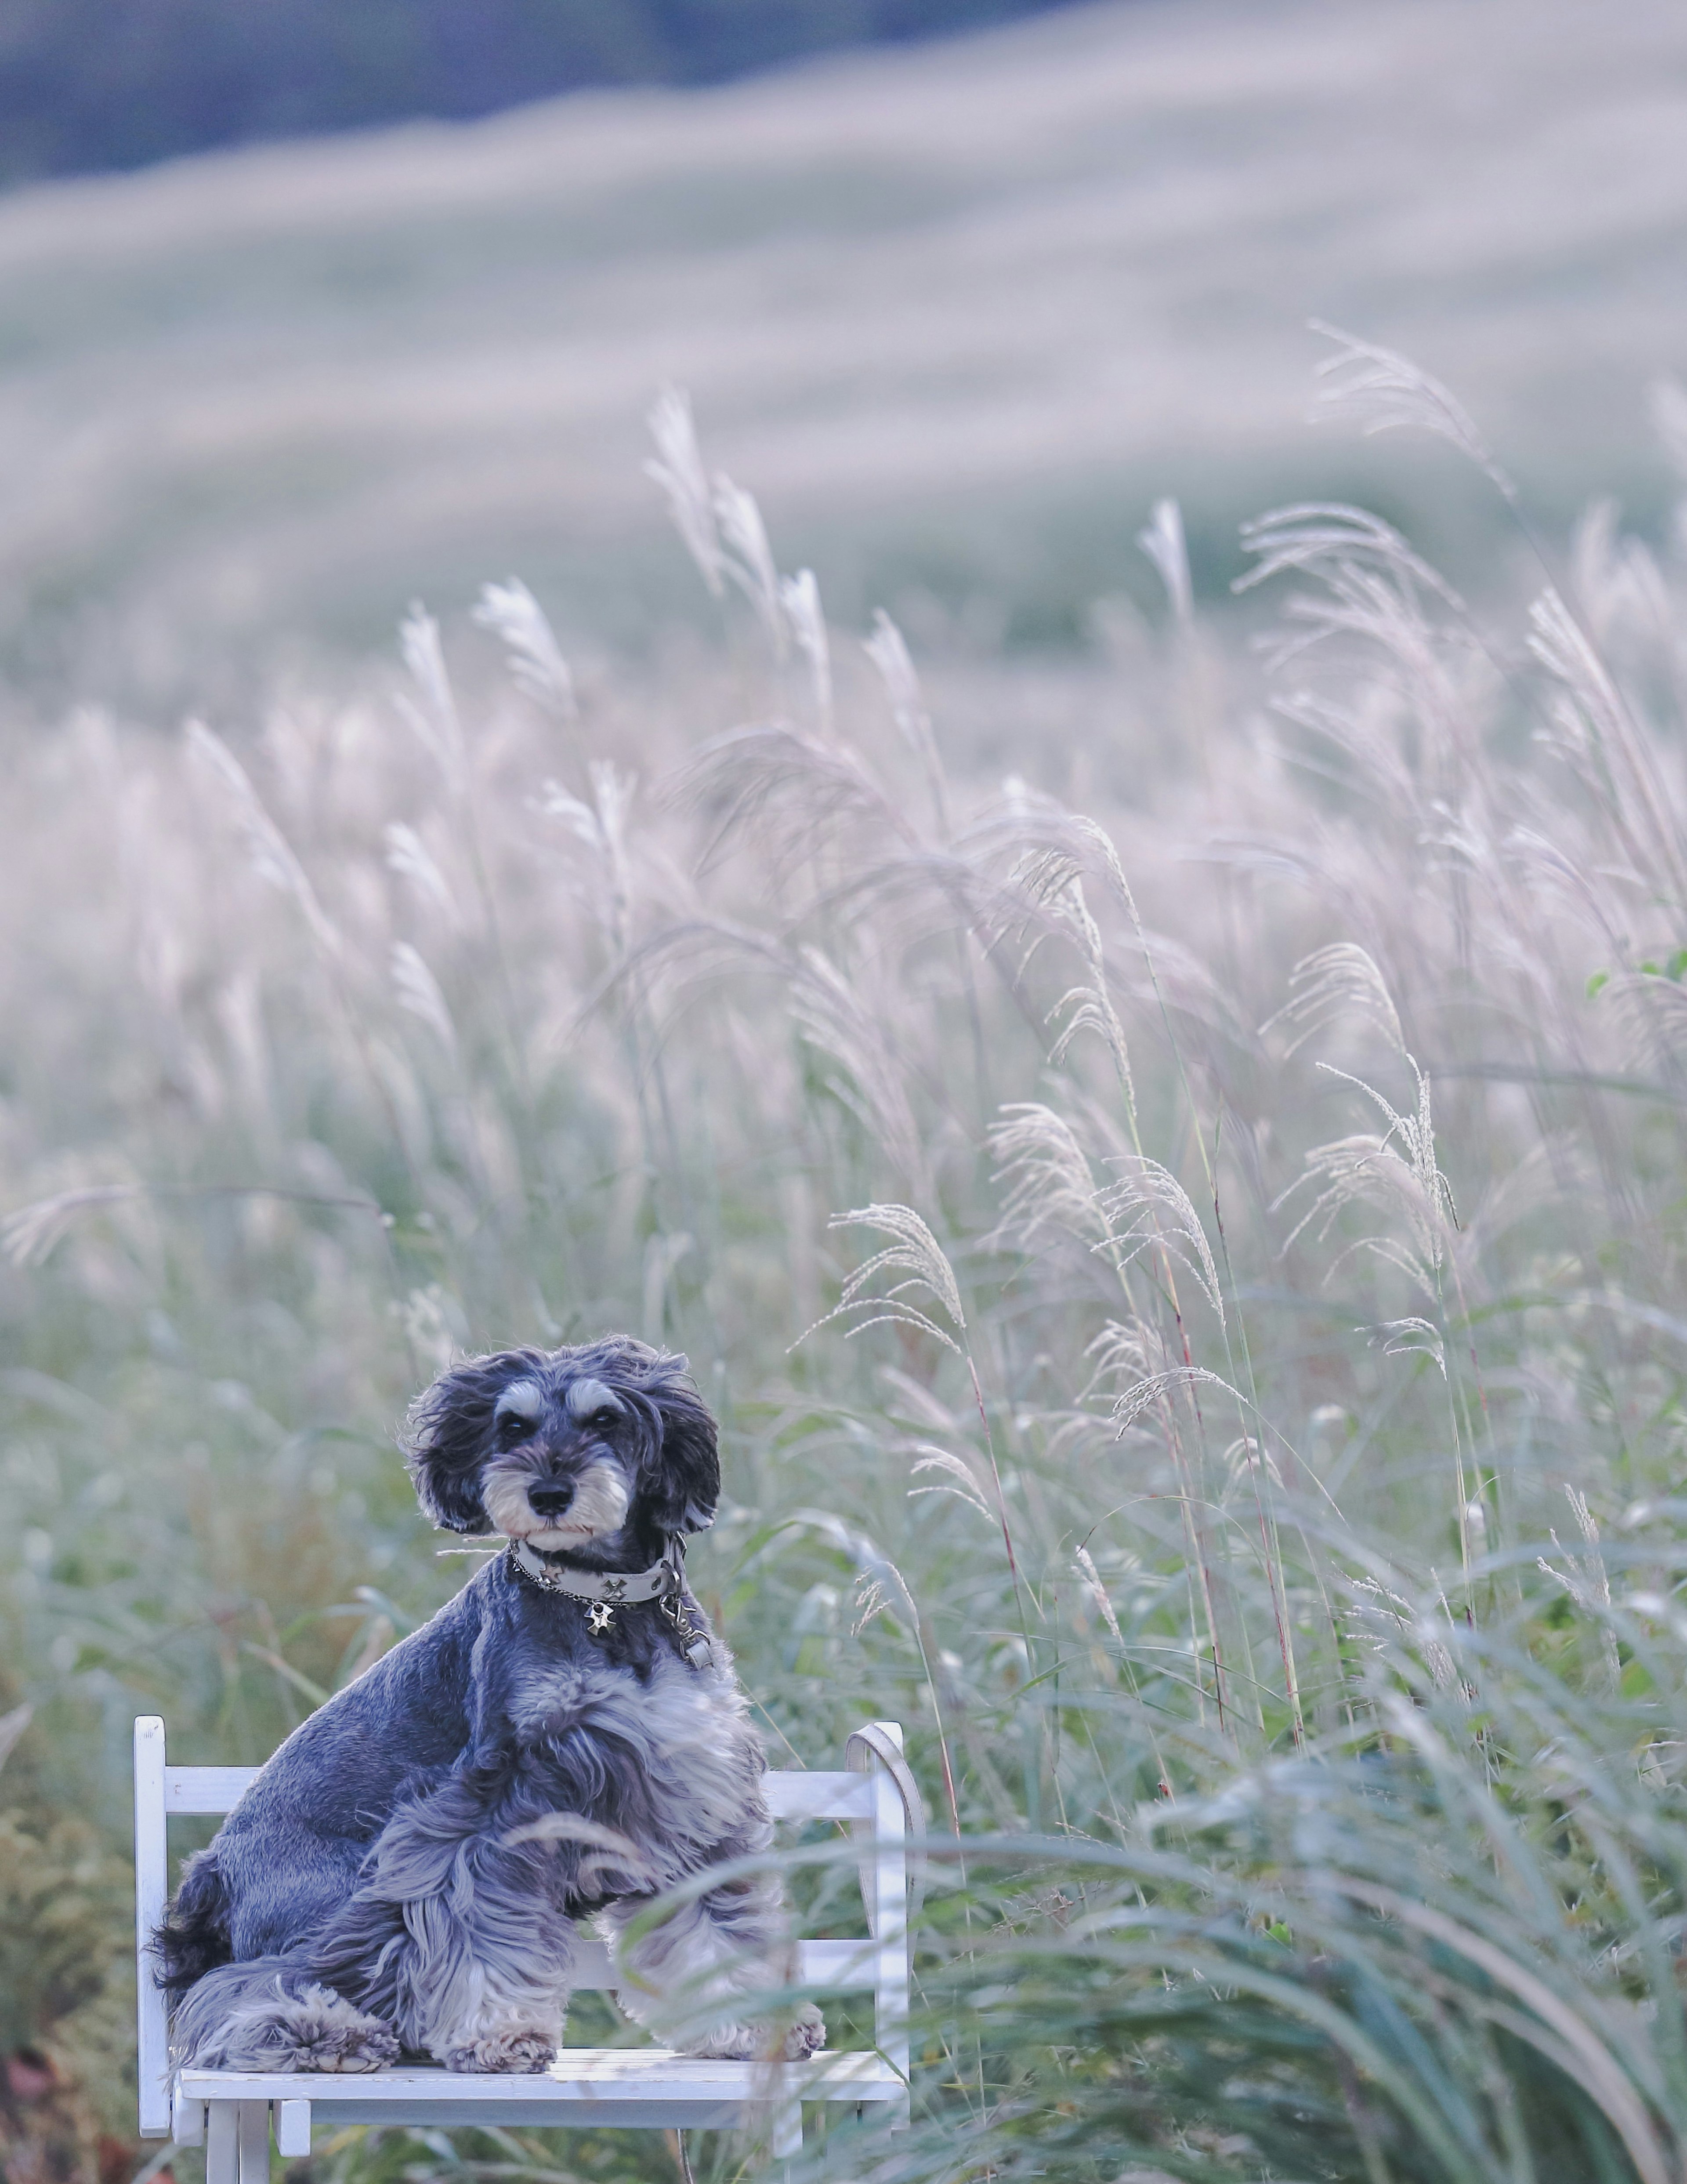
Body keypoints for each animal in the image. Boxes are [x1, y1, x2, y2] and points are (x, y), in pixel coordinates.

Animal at [155, 1336, 825, 2070]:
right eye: (513, 1425)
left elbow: (720, 1924)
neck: (597, 1601)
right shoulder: (491, 1804)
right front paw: (500, 2033)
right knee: (243, 1985)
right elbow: (477, 1928)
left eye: (605, 1419)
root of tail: (212, 1872)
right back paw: (328, 2033)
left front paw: (758, 2023)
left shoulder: (689, 1788)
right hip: (341, 1901)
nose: (549, 1493)